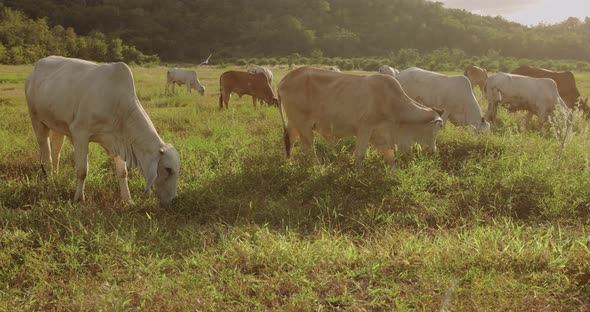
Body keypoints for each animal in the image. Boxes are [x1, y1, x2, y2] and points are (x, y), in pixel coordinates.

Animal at [25, 56, 182, 205]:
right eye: (168, 169)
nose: (173, 199)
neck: (117, 104)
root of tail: (35, 69)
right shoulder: (80, 133)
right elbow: (82, 171)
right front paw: (79, 198)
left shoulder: (118, 139)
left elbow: (122, 172)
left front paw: (127, 199)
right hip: (37, 121)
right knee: (47, 159)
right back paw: (51, 186)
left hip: (58, 126)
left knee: (56, 153)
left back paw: (56, 178)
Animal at [280, 66, 446, 168]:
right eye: (437, 128)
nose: (434, 151)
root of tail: (285, 79)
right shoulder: (365, 128)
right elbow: (360, 155)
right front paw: (357, 175)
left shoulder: (383, 134)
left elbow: (390, 156)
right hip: (303, 126)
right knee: (308, 149)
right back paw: (317, 168)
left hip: (294, 124)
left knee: (290, 142)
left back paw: (290, 164)